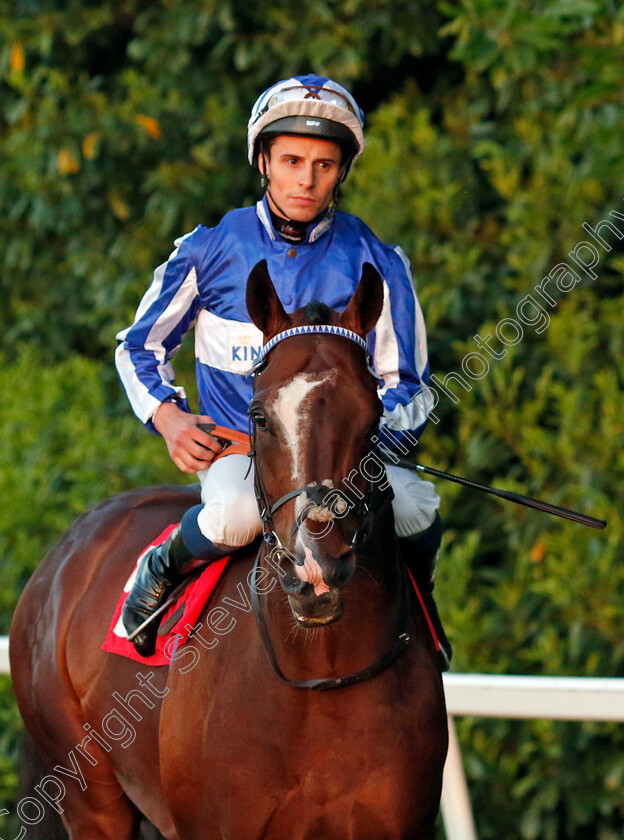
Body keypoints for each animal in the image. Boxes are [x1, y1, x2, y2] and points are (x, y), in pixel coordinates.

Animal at [11, 262, 448, 840]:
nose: (316, 566)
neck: (321, 675)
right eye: (259, 416)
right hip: (90, 796)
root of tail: (66, 552)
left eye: (374, 414)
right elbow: (139, 344)